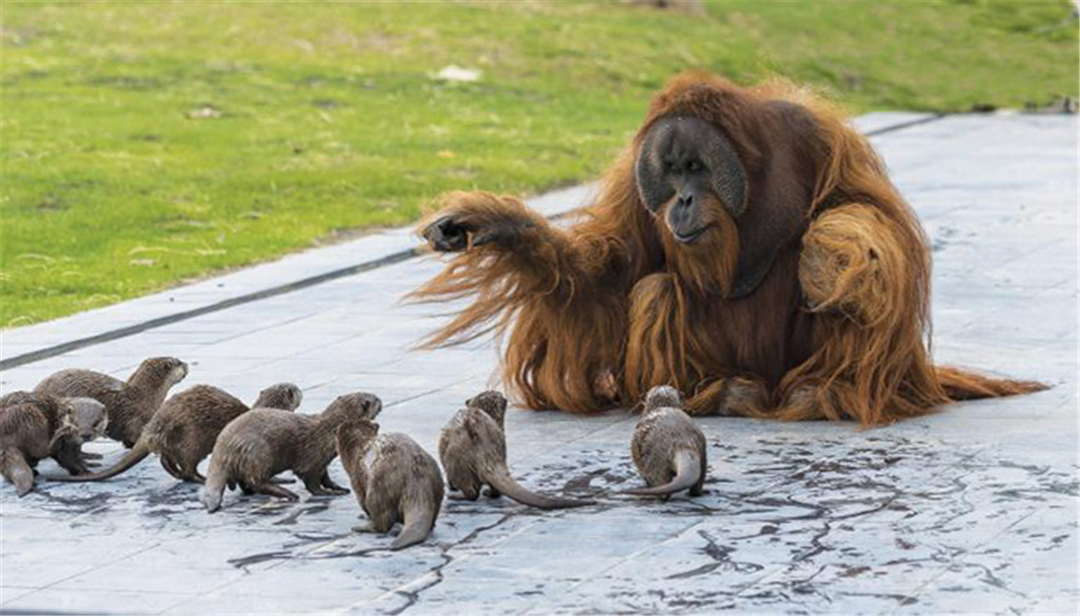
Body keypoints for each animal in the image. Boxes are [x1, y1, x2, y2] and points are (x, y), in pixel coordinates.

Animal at [42, 378, 302, 484]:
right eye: (296, 390)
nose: (299, 388)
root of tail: (155, 425)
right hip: (193, 439)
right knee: (187, 466)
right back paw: (200, 479)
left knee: (167, 460)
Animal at [201, 391, 380, 510]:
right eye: (376, 399)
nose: (381, 400)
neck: (329, 433)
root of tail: (223, 446)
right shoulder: (311, 459)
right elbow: (312, 484)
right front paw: (328, 493)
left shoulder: (323, 460)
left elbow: (326, 477)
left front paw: (338, 487)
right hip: (259, 452)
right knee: (256, 481)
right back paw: (287, 493)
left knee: (246, 483)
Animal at [334, 417, 440, 546]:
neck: (358, 447)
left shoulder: (356, 479)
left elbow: (362, 502)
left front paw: (364, 515)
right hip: (436, 479)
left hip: (378, 488)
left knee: (382, 521)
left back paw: (362, 527)